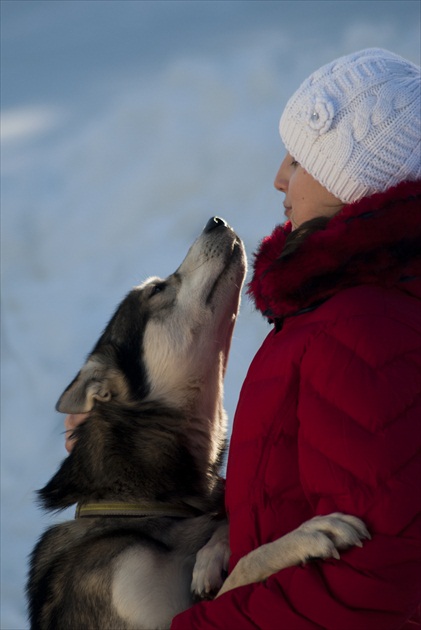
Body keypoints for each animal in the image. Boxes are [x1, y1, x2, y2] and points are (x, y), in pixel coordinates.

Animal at [27, 218, 368, 630]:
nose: (216, 221)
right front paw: (304, 536)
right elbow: (241, 573)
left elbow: (223, 528)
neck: (145, 502)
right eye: (158, 289)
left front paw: (212, 553)